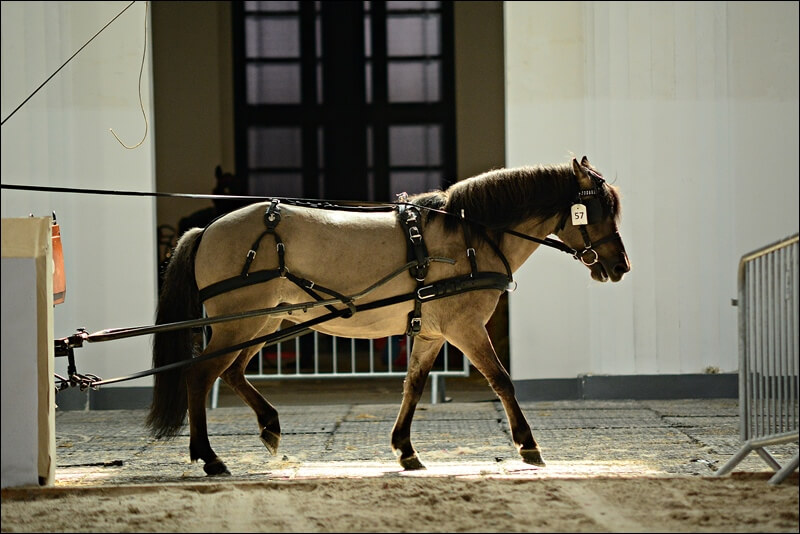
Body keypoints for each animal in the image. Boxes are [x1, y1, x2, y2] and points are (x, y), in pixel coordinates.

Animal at [147, 156, 628, 478]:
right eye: (596, 211)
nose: (620, 266)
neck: (470, 236)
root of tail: (207, 228)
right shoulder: (465, 328)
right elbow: (502, 381)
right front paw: (528, 445)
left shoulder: (432, 333)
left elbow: (413, 385)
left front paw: (405, 450)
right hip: (239, 323)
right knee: (200, 375)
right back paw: (210, 457)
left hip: (263, 322)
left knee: (231, 373)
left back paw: (269, 426)